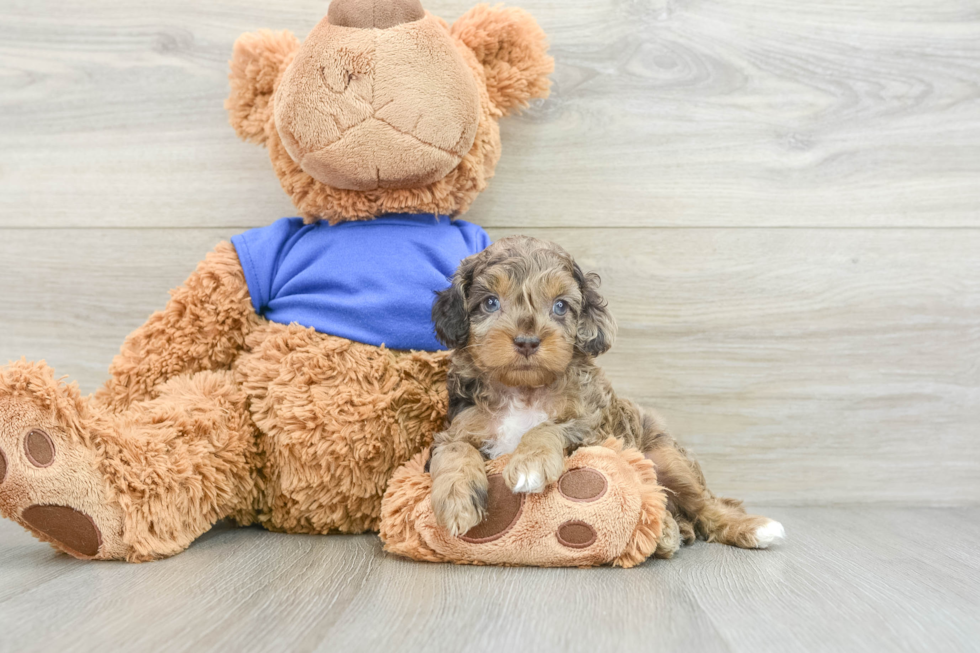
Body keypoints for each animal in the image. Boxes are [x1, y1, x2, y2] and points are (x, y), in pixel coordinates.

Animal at [426, 234, 780, 552]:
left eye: (560, 306)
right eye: (490, 302)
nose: (527, 341)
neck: (523, 391)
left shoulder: (593, 428)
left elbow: (548, 427)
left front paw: (530, 462)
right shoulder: (457, 427)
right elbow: (455, 449)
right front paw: (457, 498)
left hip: (666, 455)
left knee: (706, 504)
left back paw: (752, 528)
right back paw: (669, 531)